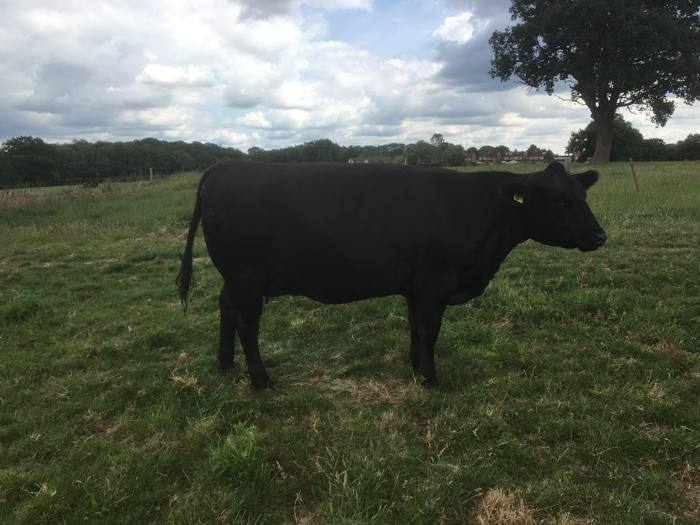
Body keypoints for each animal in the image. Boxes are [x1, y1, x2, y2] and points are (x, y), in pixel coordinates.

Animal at [177, 160, 606, 390]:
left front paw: (415, 366)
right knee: (246, 323)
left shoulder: (415, 286)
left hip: (236, 279)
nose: (599, 235)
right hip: (247, 278)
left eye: (583, 196)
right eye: (560, 201)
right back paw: (261, 380)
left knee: (225, 308)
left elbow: (414, 325)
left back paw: (225, 364)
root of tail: (226, 166)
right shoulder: (434, 282)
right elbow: (430, 329)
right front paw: (431, 380)